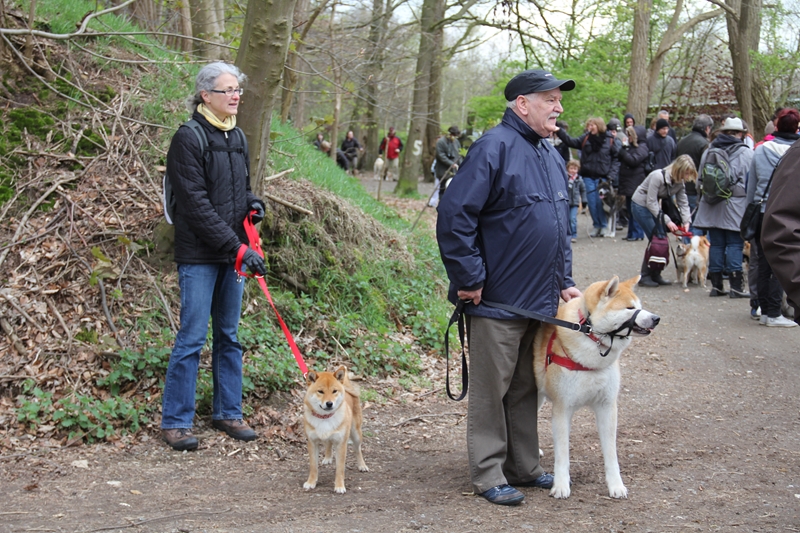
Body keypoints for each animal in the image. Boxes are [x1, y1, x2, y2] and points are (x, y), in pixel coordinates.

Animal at [304, 364, 368, 492]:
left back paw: (362, 465)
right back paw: (328, 457)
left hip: (356, 434)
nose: (329, 403)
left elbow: (340, 469)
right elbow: (313, 467)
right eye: (320, 391)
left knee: (358, 449)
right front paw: (311, 482)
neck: (325, 418)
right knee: (328, 443)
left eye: (334, 391)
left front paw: (339, 486)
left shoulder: (341, 444)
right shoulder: (312, 442)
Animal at [536, 274, 660, 498]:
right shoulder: (562, 408)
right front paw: (561, 484)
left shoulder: (607, 407)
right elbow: (562, 455)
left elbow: (611, 455)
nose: (656, 318)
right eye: (629, 308)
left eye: (640, 306)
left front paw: (616, 485)